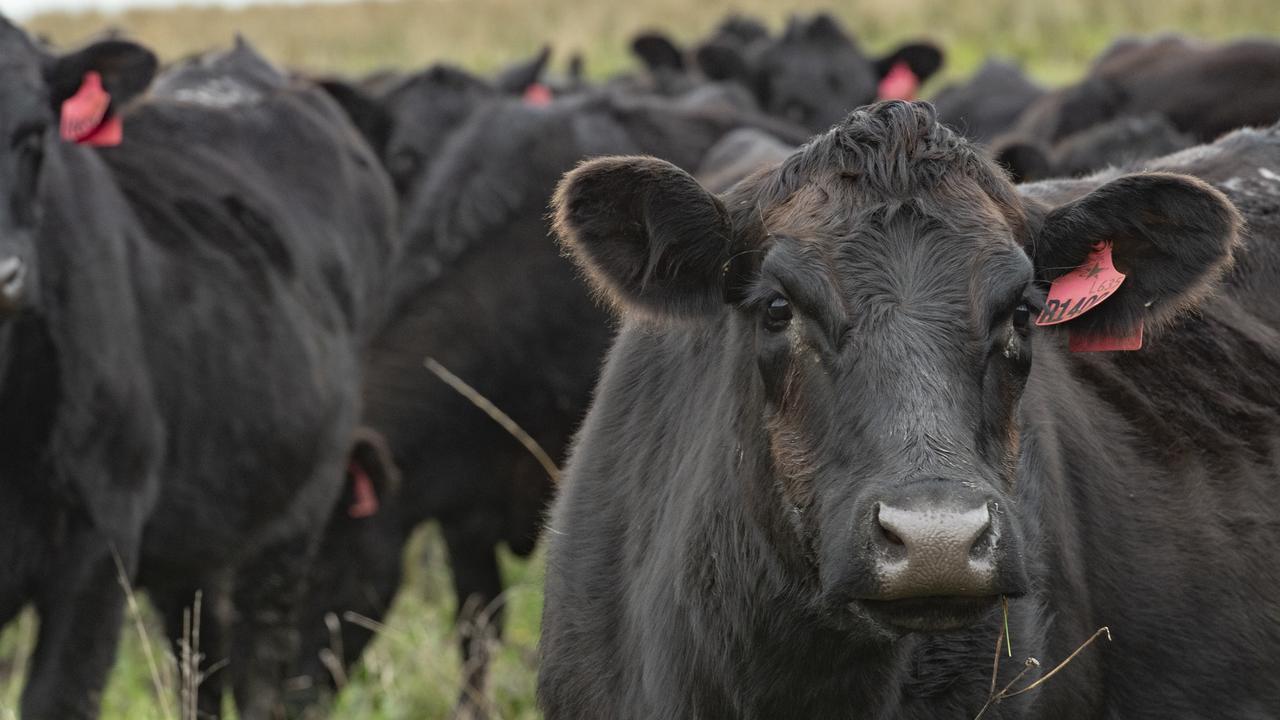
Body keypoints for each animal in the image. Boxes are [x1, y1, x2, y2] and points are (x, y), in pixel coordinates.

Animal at [0, 23, 396, 717]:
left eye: (32, 133)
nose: (4, 275)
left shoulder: (98, 542)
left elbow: (59, 695)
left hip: (294, 512)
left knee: (259, 663)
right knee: (202, 658)